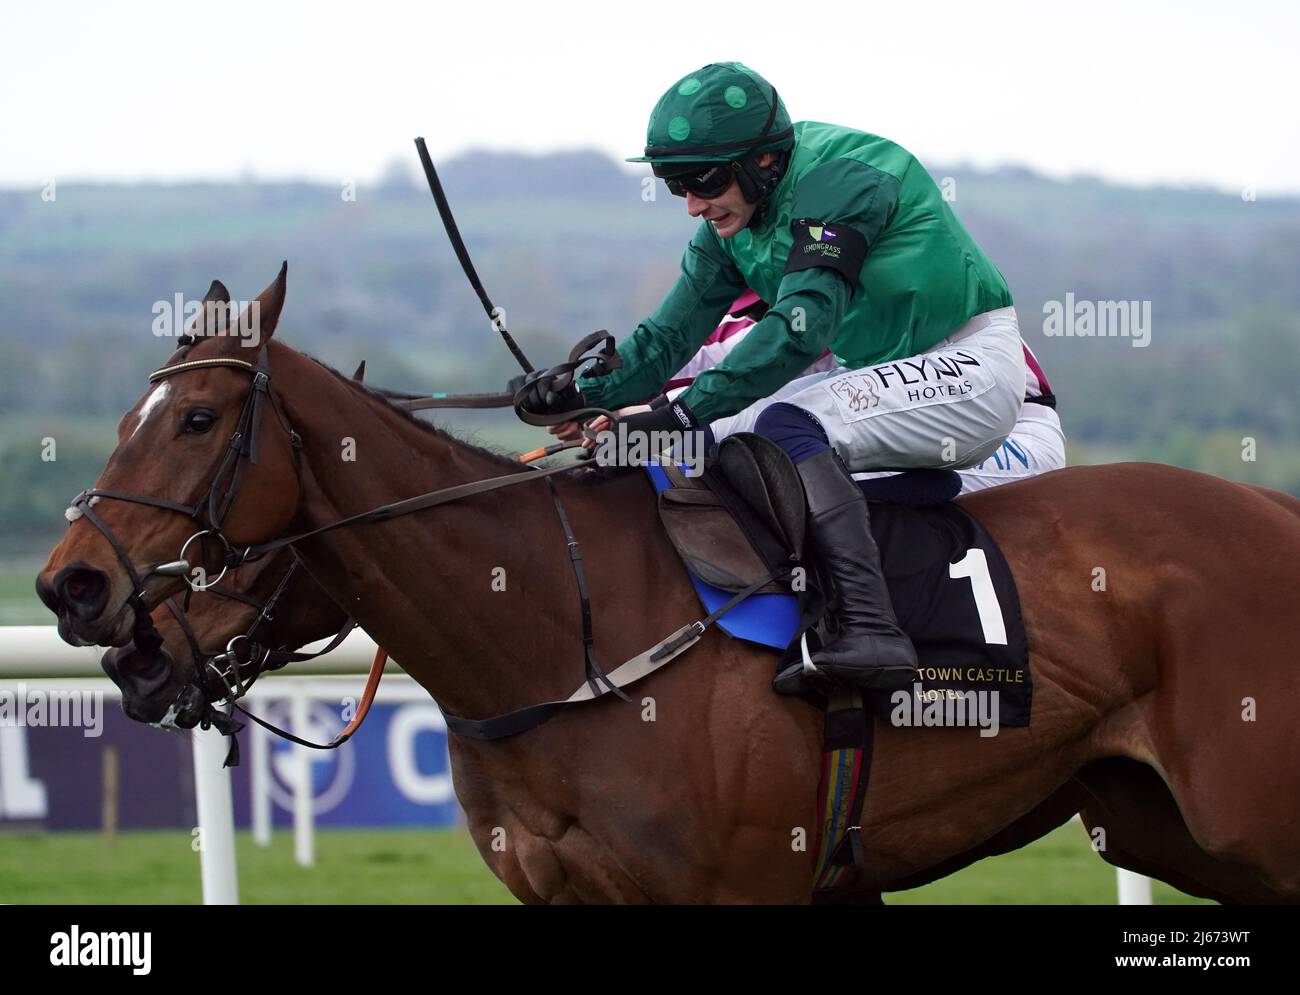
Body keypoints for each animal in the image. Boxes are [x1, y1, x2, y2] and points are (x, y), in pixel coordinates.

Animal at [40, 267, 1300, 905]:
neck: (559, 625)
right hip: (1164, 822)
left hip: (1252, 822)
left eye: (198, 419)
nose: (75, 591)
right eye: (132, 415)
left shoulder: (738, 891)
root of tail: (1272, 507)